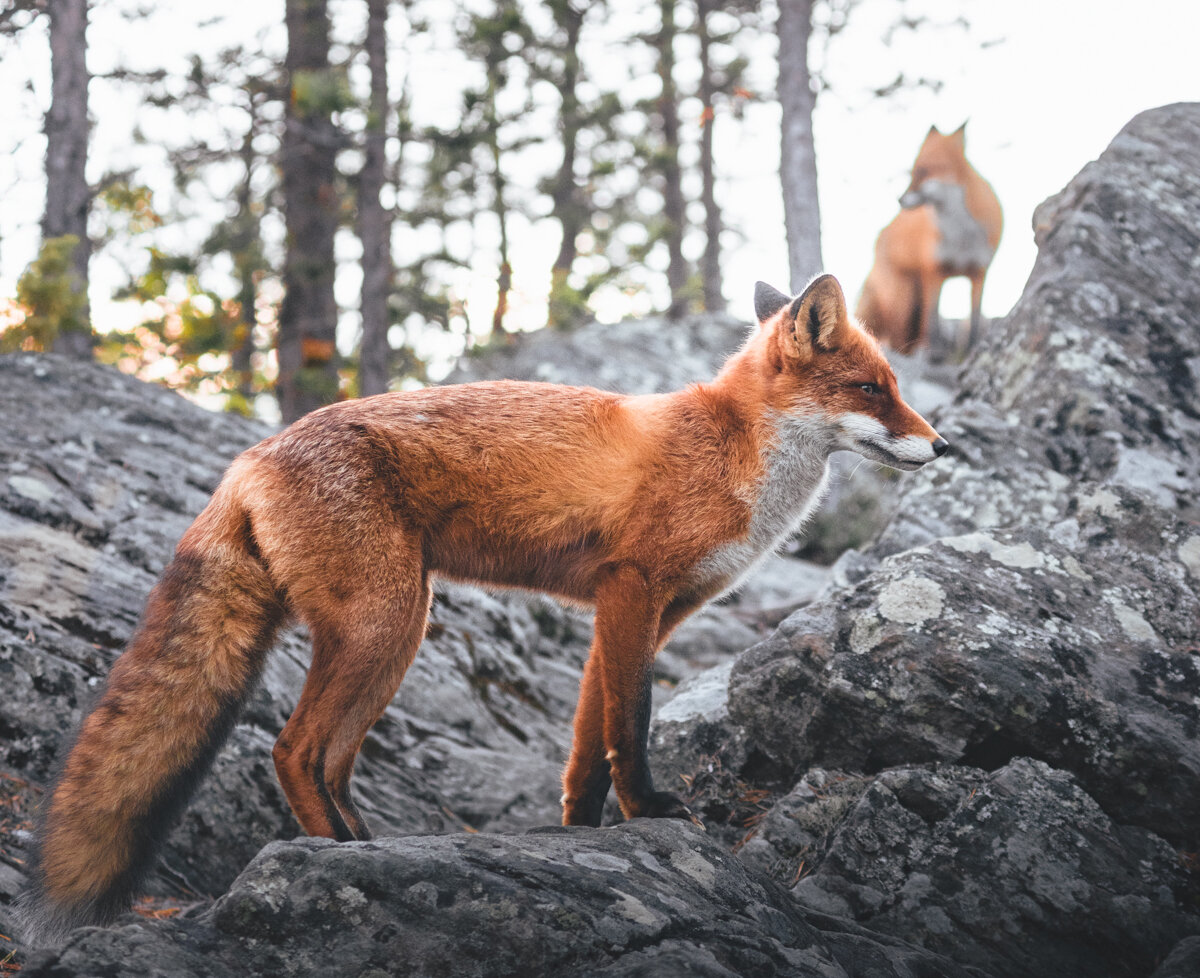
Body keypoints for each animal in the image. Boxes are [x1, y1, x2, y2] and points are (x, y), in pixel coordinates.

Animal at [14, 277, 940, 950]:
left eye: (895, 388)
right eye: (871, 389)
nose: (943, 446)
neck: (734, 452)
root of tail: (248, 457)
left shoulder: (637, 612)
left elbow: (586, 745)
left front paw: (583, 835)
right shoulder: (633, 589)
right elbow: (630, 724)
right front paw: (650, 812)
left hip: (394, 631)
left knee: (330, 761)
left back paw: (362, 849)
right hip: (388, 623)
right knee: (292, 750)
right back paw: (334, 861)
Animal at [854, 121, 1003, 352]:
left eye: (923, 170)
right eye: (912, 171)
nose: (900, 200)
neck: (961, 237)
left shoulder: (979, 272)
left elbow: (975, 324)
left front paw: (971, 349)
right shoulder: (934, 271)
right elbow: (932, 328)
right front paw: (931, 352)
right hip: (903, 301)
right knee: (898, 338)